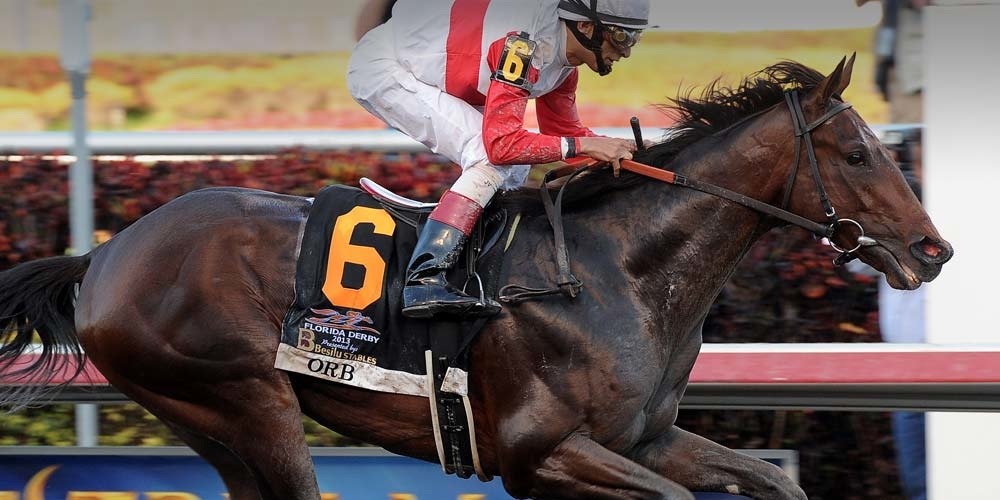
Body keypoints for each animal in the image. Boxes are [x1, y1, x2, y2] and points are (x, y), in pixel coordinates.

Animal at [0, 57, 952, 499]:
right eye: (859, 152)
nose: (933, 249)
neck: (620, 272)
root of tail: (105, 254)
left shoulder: (643, 438)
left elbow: (774, 477)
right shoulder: (541, 451)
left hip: (207, 421)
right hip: (242, 396)